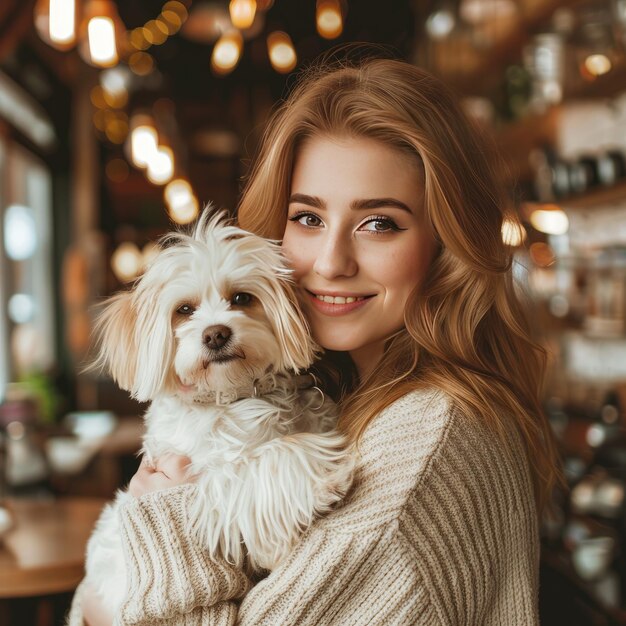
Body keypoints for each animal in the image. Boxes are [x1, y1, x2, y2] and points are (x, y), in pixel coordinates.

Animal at [83, 210, 354, 608]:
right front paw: (323, 476)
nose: (215, 334)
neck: (232, 394)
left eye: (241, 298)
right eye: (184, 310)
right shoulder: (206, 487)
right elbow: (268, 460)